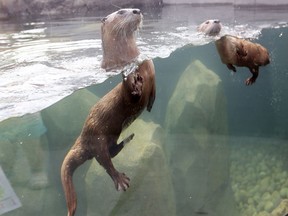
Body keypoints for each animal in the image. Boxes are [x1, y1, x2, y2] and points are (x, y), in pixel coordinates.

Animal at [60, 7, 155, 215]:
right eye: (120, 11)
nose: (137, 10)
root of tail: (82, 137)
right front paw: (134, 83)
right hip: (98, 140)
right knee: (105, 161)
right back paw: (121, 180)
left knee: (110, 153)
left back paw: (128, 138)